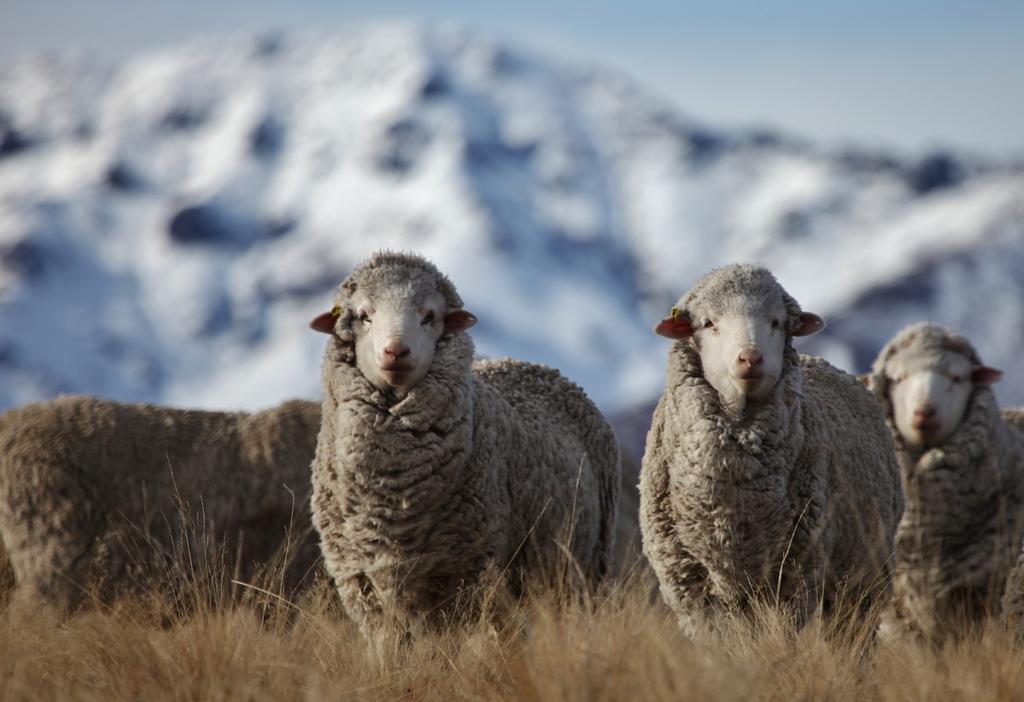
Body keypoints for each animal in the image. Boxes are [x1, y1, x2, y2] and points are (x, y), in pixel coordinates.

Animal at [307, 250, 618, 646]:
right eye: (364, 315)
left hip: (585, 569)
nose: (396, 351)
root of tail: (537, 366)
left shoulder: (466, 574)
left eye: (429, 316)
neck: (394, 493)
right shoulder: (365, 587)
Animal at [638, 264, 905, 638]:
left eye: (777, 322)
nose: (750, 358)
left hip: (862, 581)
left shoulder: (793, 578)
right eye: (708, 322)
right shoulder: (693, 591)